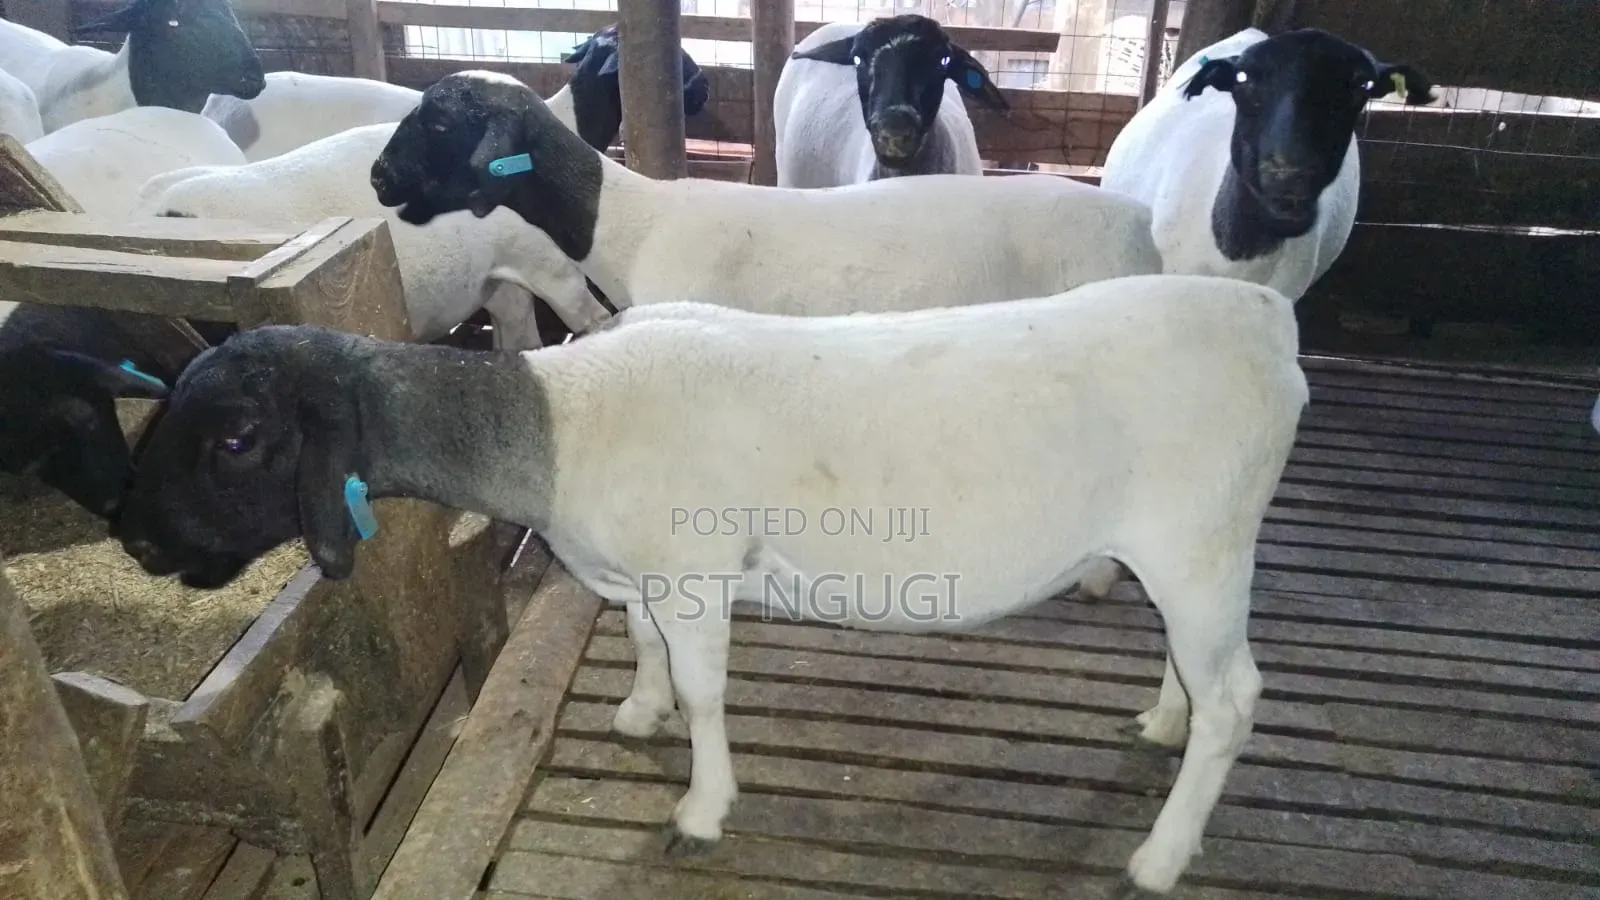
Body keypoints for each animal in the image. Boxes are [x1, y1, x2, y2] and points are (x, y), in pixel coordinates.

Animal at [111, 273, 1310, 896]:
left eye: (238, 438)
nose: (129, 535)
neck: (551, 426)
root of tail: (1261, 318)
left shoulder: (691, 576)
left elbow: (701, 692)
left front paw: (701, 806)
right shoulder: (643, 573)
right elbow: (641, 649)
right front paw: (637, 714)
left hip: (1202, 537)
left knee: (1237, 699)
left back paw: (1161, 853)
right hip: (1185, 551)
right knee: (1193, 674)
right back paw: (1158, 724)